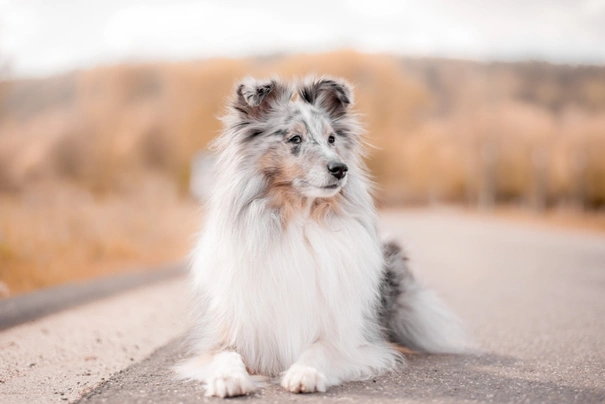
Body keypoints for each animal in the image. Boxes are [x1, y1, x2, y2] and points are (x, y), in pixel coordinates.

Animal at [177, 76, 464, 398]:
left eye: (331, 139)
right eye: (294, 139)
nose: (341, 169)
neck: (299, 219)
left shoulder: (348, 336)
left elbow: (320, 347)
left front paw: (304, 372)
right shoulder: (230, 332)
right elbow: (226, 354)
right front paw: (227, 378)